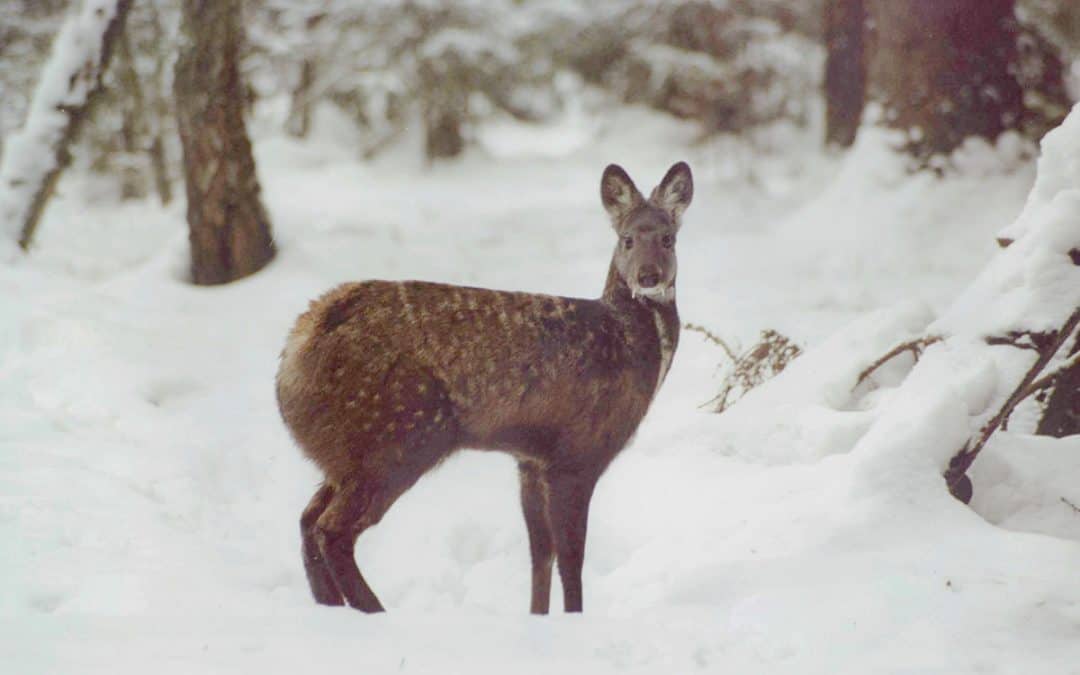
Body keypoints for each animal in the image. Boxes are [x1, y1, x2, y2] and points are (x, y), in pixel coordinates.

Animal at [276, 162, 691, 609]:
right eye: (626, 239)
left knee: (307, 520)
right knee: (330, 530)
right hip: (397, 434)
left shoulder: (530, 459)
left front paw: (537, 619)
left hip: (345, 452)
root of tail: (296, 350)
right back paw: (376, 612)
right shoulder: (578, 451)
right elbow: (571, 560)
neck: (624, 342)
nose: (648, 276)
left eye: (668, 238)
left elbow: (541, 554)